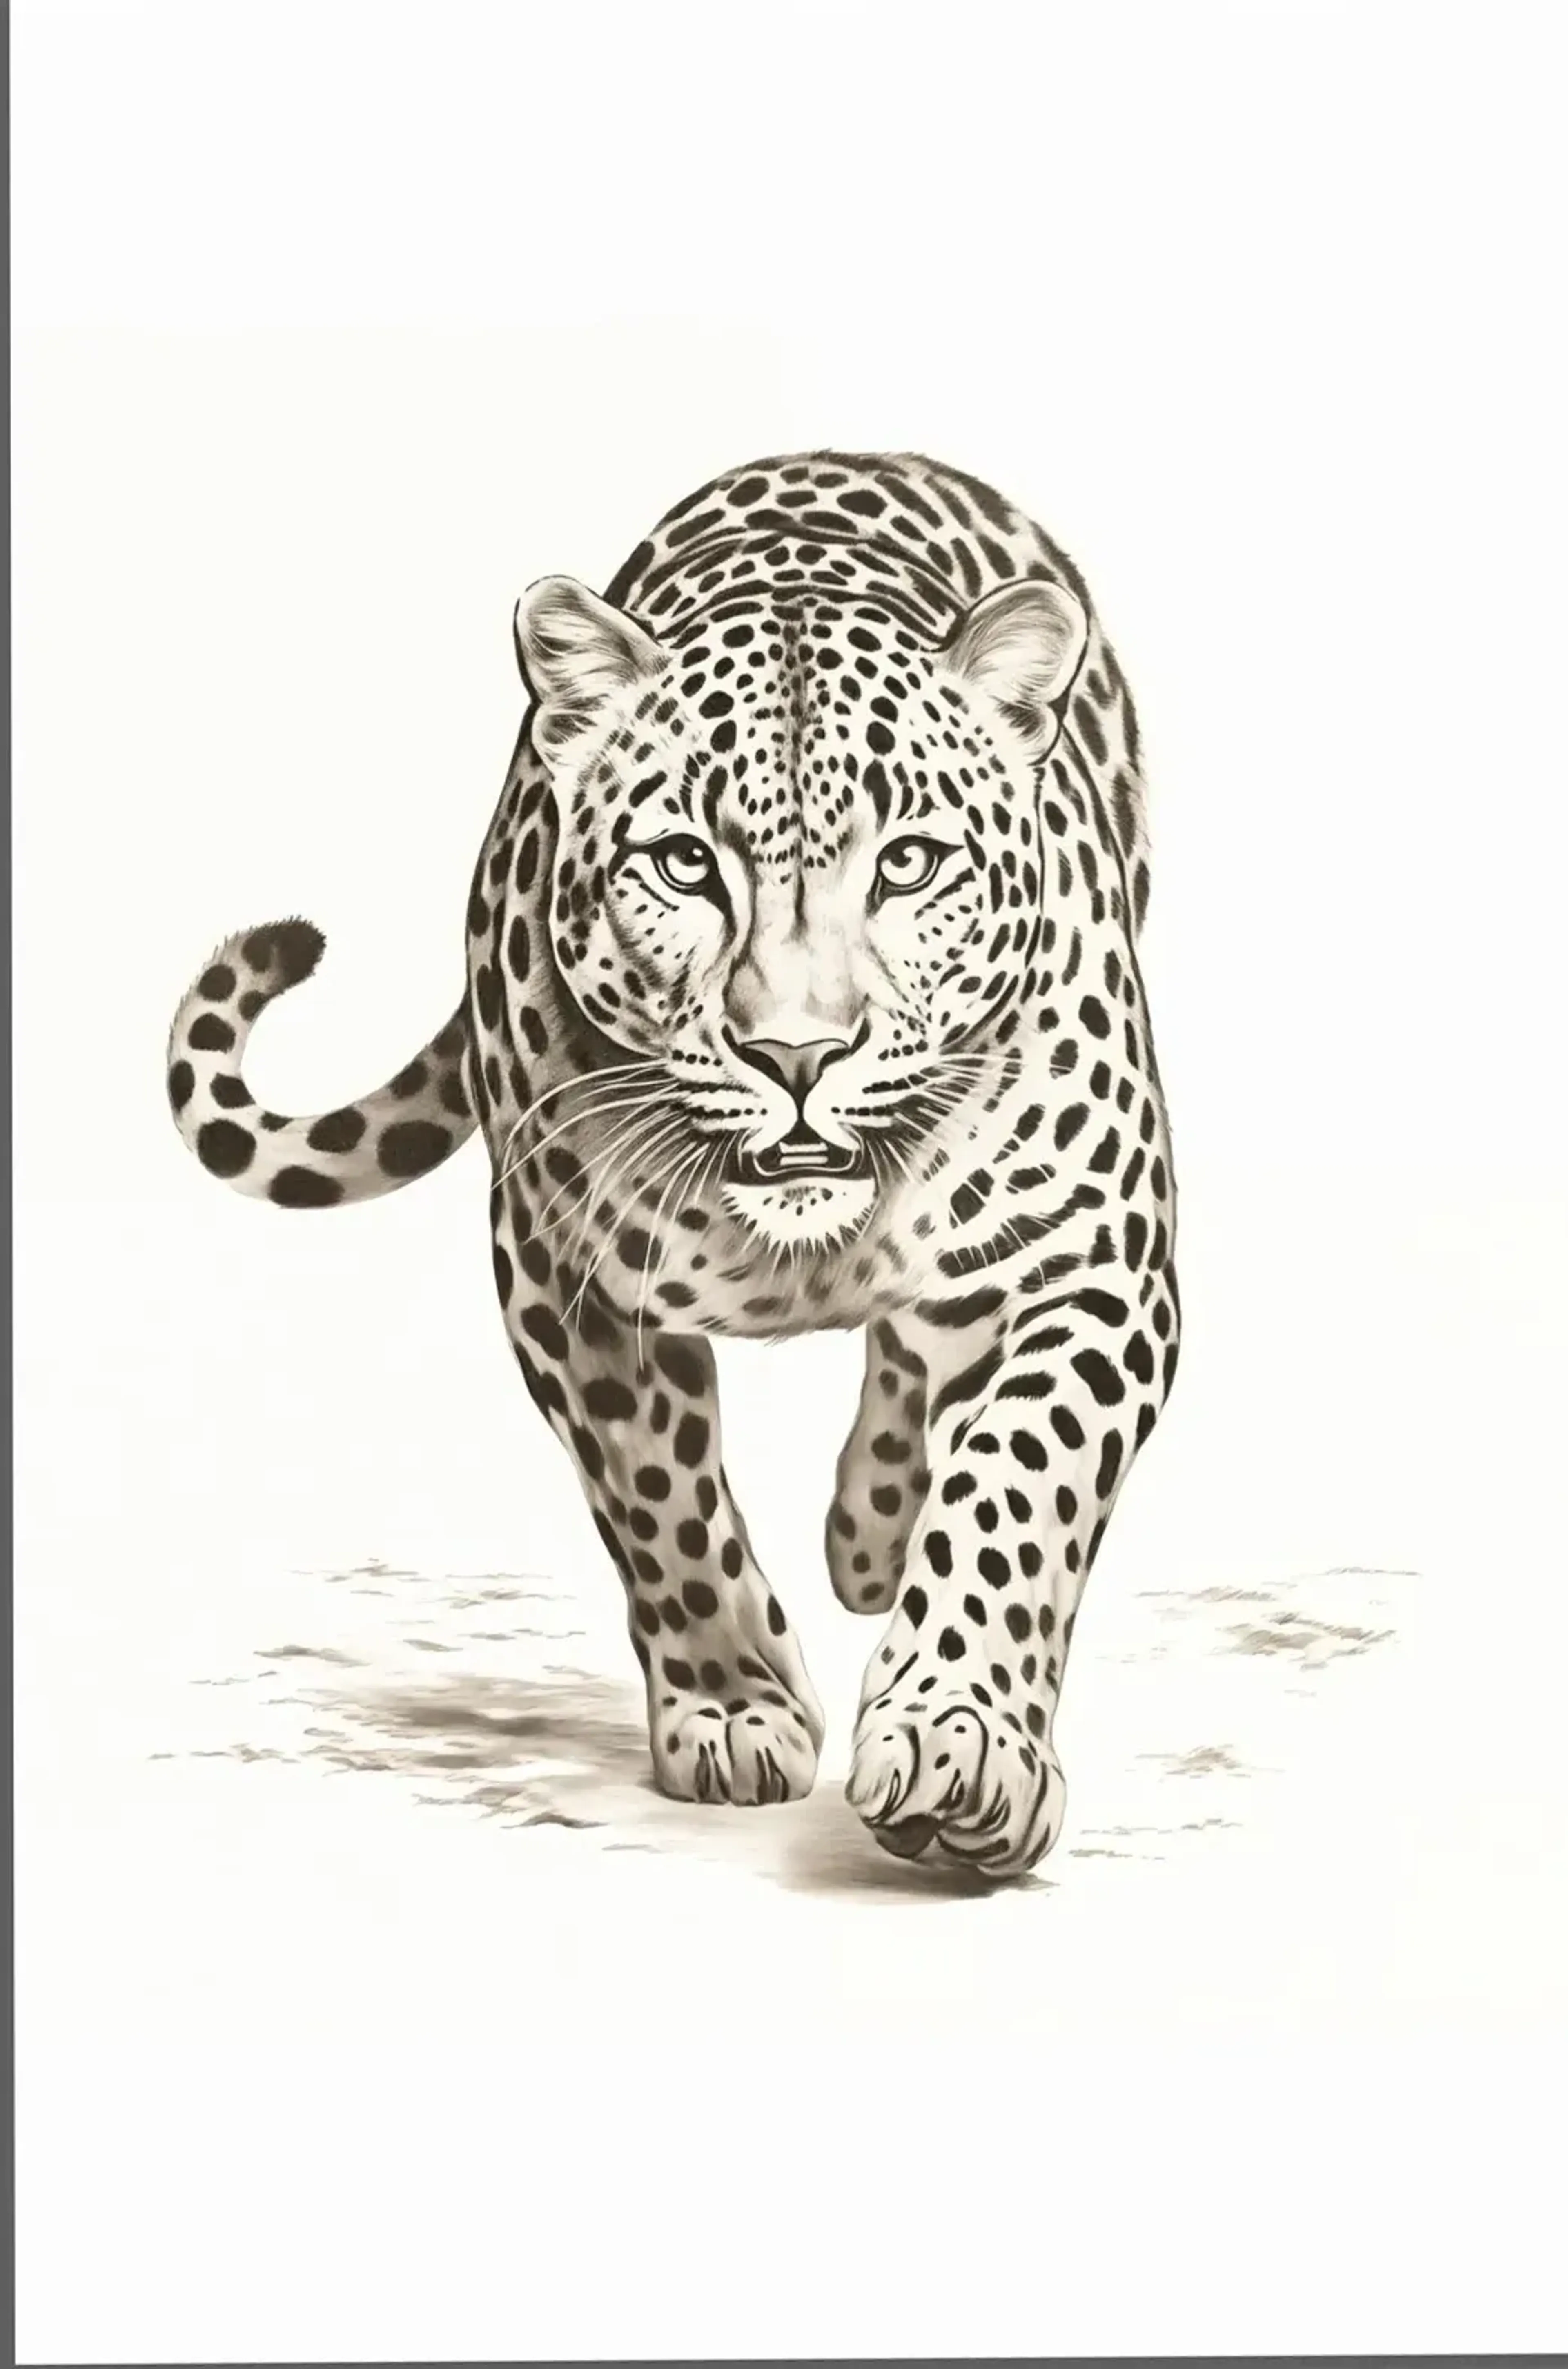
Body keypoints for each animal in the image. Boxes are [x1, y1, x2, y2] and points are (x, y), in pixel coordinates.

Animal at [166, 449, 1179, 1881]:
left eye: (911, 862)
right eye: (685, 863)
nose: (797, 1052)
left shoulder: (1095, 1259)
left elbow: (1014, 1483)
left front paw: (959, 1738)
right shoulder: (566, 1278)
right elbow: (659, 1497)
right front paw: (738, 1707)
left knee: (924, 1358)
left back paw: (876, 1536)